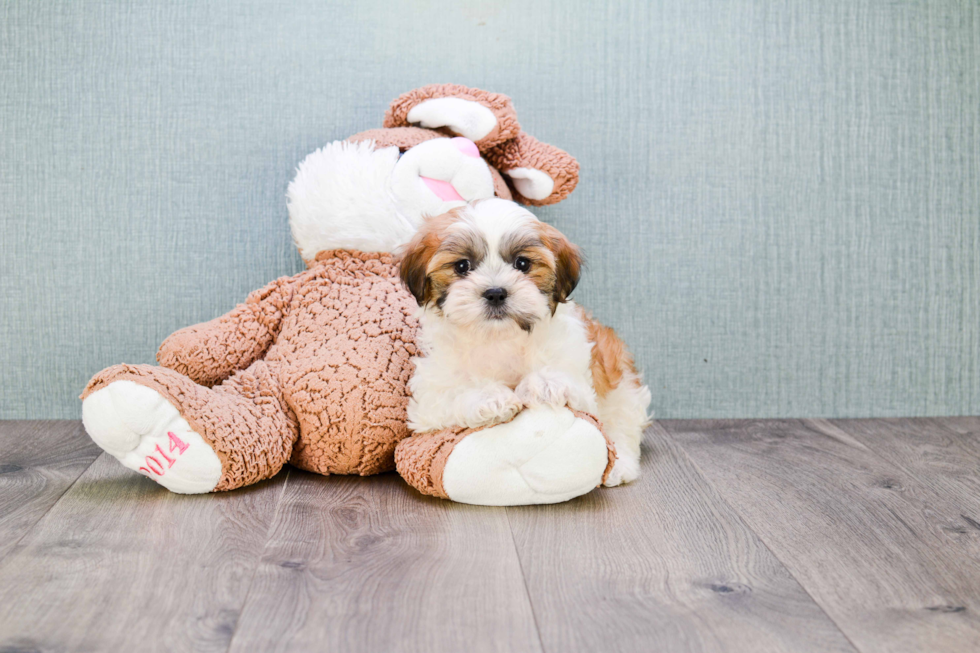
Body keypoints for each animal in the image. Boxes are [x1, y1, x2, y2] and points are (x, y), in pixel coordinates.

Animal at [398, 197, 652, 484]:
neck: (499, 337)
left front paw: (543, 384)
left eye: (522, 264)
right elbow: (452, 394)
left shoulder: (582, 380)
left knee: (622, 422)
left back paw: (620, 465)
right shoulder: (427, 402)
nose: (496, 292)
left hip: (622, 384)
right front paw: (490, 398)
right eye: (462, 266)